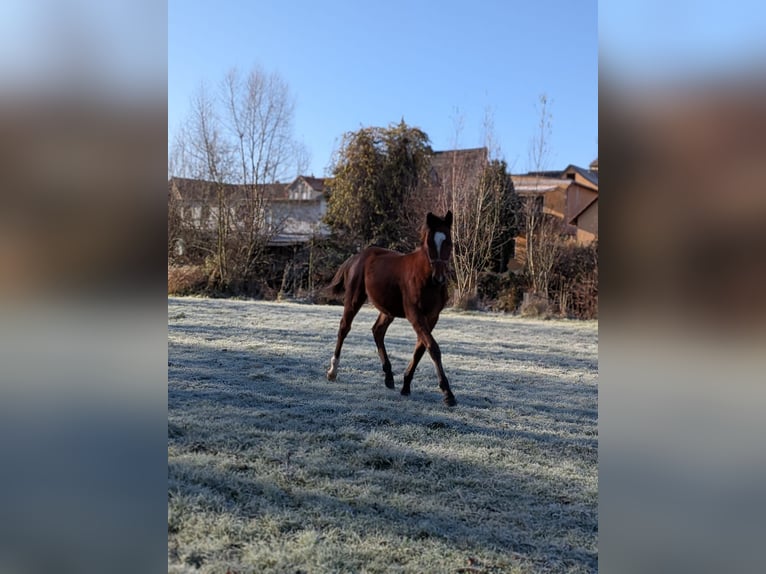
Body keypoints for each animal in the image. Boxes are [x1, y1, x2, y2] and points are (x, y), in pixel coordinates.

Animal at [325, 211, 457, 406]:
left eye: (448, 241)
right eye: (429, 243)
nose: (439, 277)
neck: (426, 278)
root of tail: (357, 256)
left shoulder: (432, 317)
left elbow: (420, 349)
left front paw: (406, 386)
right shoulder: (415, 315)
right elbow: (432, 347)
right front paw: (448, 393)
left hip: (388, 310)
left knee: (377, 331)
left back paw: (388, 376)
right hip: (354, 300)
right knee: (344, 328)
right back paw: (333, 371)